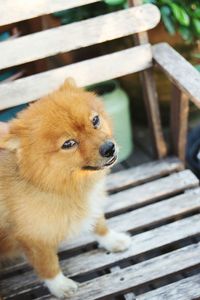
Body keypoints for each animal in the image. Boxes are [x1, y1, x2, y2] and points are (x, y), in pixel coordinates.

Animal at [0, 79, 130, 298]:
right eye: (68, 143)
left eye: (95, 120)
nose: (109, 148)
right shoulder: (34, 237)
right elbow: (48, 265)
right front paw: (60, 286)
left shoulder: (91, 206)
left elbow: (99, 224)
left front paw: (112, 240)